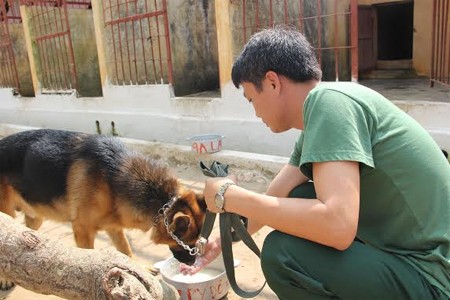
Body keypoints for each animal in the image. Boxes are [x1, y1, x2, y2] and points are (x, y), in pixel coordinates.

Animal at [0, 129, 207, 268]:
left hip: (35, 217)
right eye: (188, 244)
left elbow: (126, 251)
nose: (193, 263)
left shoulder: (114, 227)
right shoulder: (82, 229)